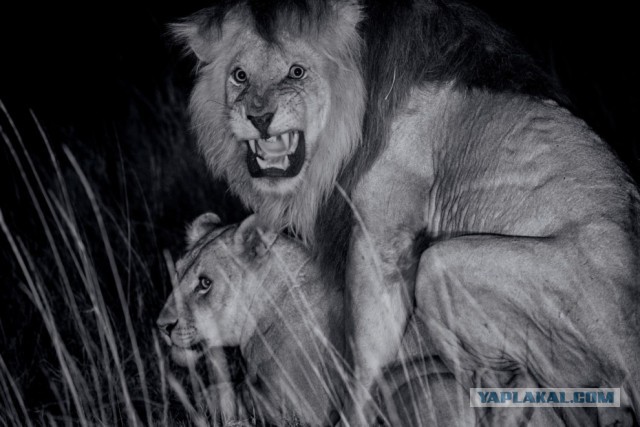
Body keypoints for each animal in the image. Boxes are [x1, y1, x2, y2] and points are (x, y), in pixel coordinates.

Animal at [173, 0, 640, 425]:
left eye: (297, 72)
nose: (258, 117)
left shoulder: (382, 236)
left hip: (446, 266)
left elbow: (366, 349)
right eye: (239, 75)